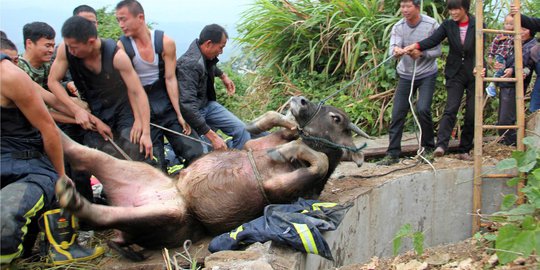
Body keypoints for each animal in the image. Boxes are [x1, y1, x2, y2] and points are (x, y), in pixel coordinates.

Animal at [57, 96, 364, 250]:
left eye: (337, 118)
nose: (300, 100)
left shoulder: (282, 190)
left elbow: (320, 161)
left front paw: (287, 152)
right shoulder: (254, 146)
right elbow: (275, 124)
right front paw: (267, 126)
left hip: (166, 217)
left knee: (101, 214)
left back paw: (72, 197)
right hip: (139, 171)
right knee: (84, 153)